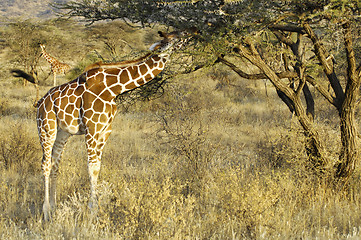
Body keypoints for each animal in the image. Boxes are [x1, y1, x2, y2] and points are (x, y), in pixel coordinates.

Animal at [36, 29, 193, 220]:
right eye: (178, 36)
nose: (194, 33)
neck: (113, 88)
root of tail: (40, 103)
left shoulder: (105, 130)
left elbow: (97, 168)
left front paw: (96, 209)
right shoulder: (92, 129)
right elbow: (91, 168)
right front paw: (92, 210)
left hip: (62, 133)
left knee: (55, 164)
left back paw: (54, 207)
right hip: (46, 128)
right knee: (45, 164)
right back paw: (45, 211)